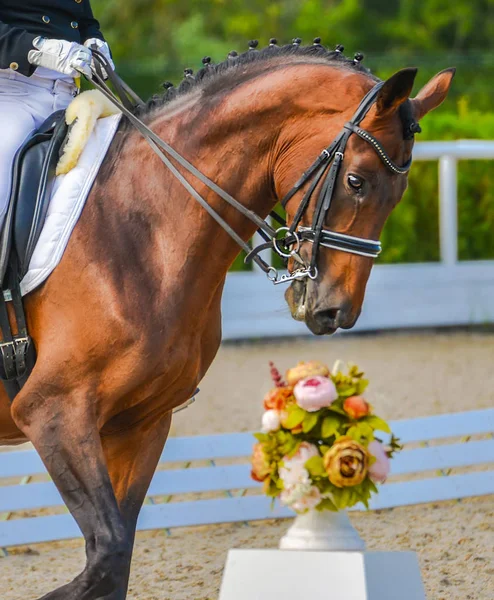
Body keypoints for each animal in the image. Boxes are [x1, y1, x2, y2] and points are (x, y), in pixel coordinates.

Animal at [0, 43, 452, 600]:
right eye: (355, 180)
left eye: (400, 192)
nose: (335, 311)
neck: (145, 227)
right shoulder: (53, 411)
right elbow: (105, 554)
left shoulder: (139, 424)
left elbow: (116, 557)